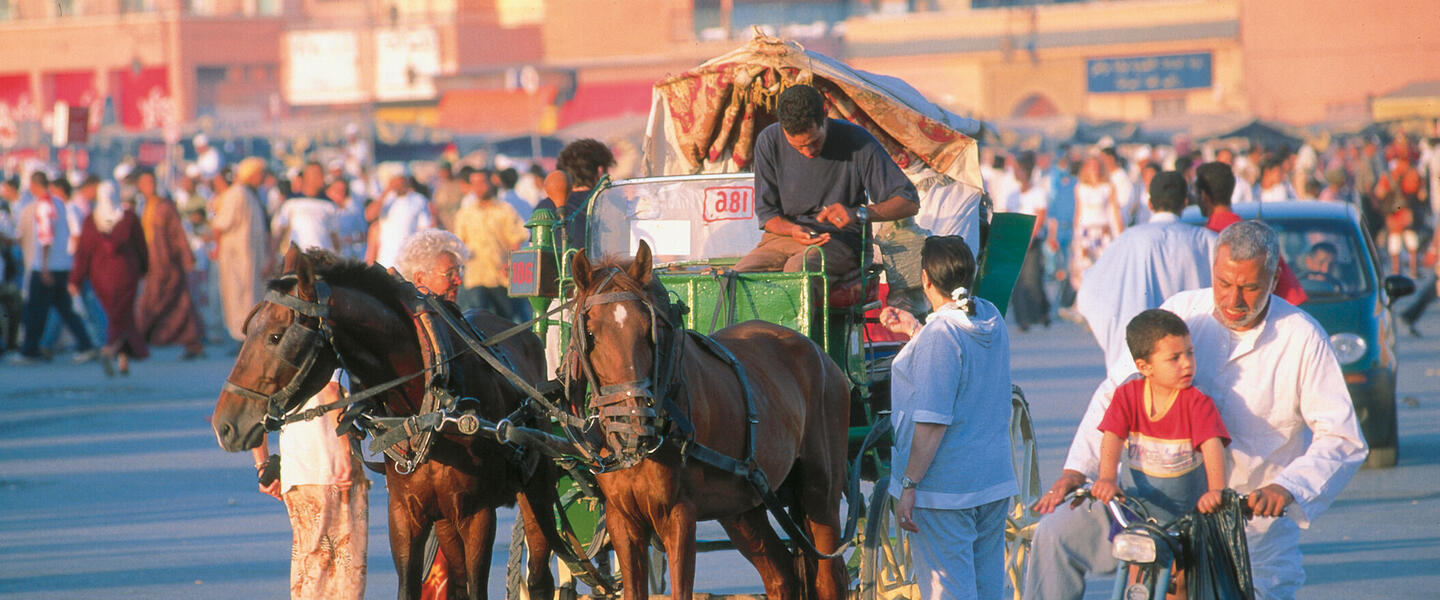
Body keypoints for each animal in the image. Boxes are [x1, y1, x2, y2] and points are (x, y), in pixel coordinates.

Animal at [208, 246, 555, 595]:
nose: (224, 425)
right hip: (445, 521)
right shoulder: (405, 514)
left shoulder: (477, 514)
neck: (430, 402)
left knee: (540, 575)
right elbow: (412, 587)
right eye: (249, 329)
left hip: (536, 489)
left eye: (276, 337)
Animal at [567, 241, 846, 598]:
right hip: (744, 507)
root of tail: (818, 353)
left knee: (828, 576)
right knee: (781, 574)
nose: (633, 426)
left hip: (820, 494)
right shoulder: (622, 519)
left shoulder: (678, 514)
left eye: (651, 330)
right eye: (590, 333)